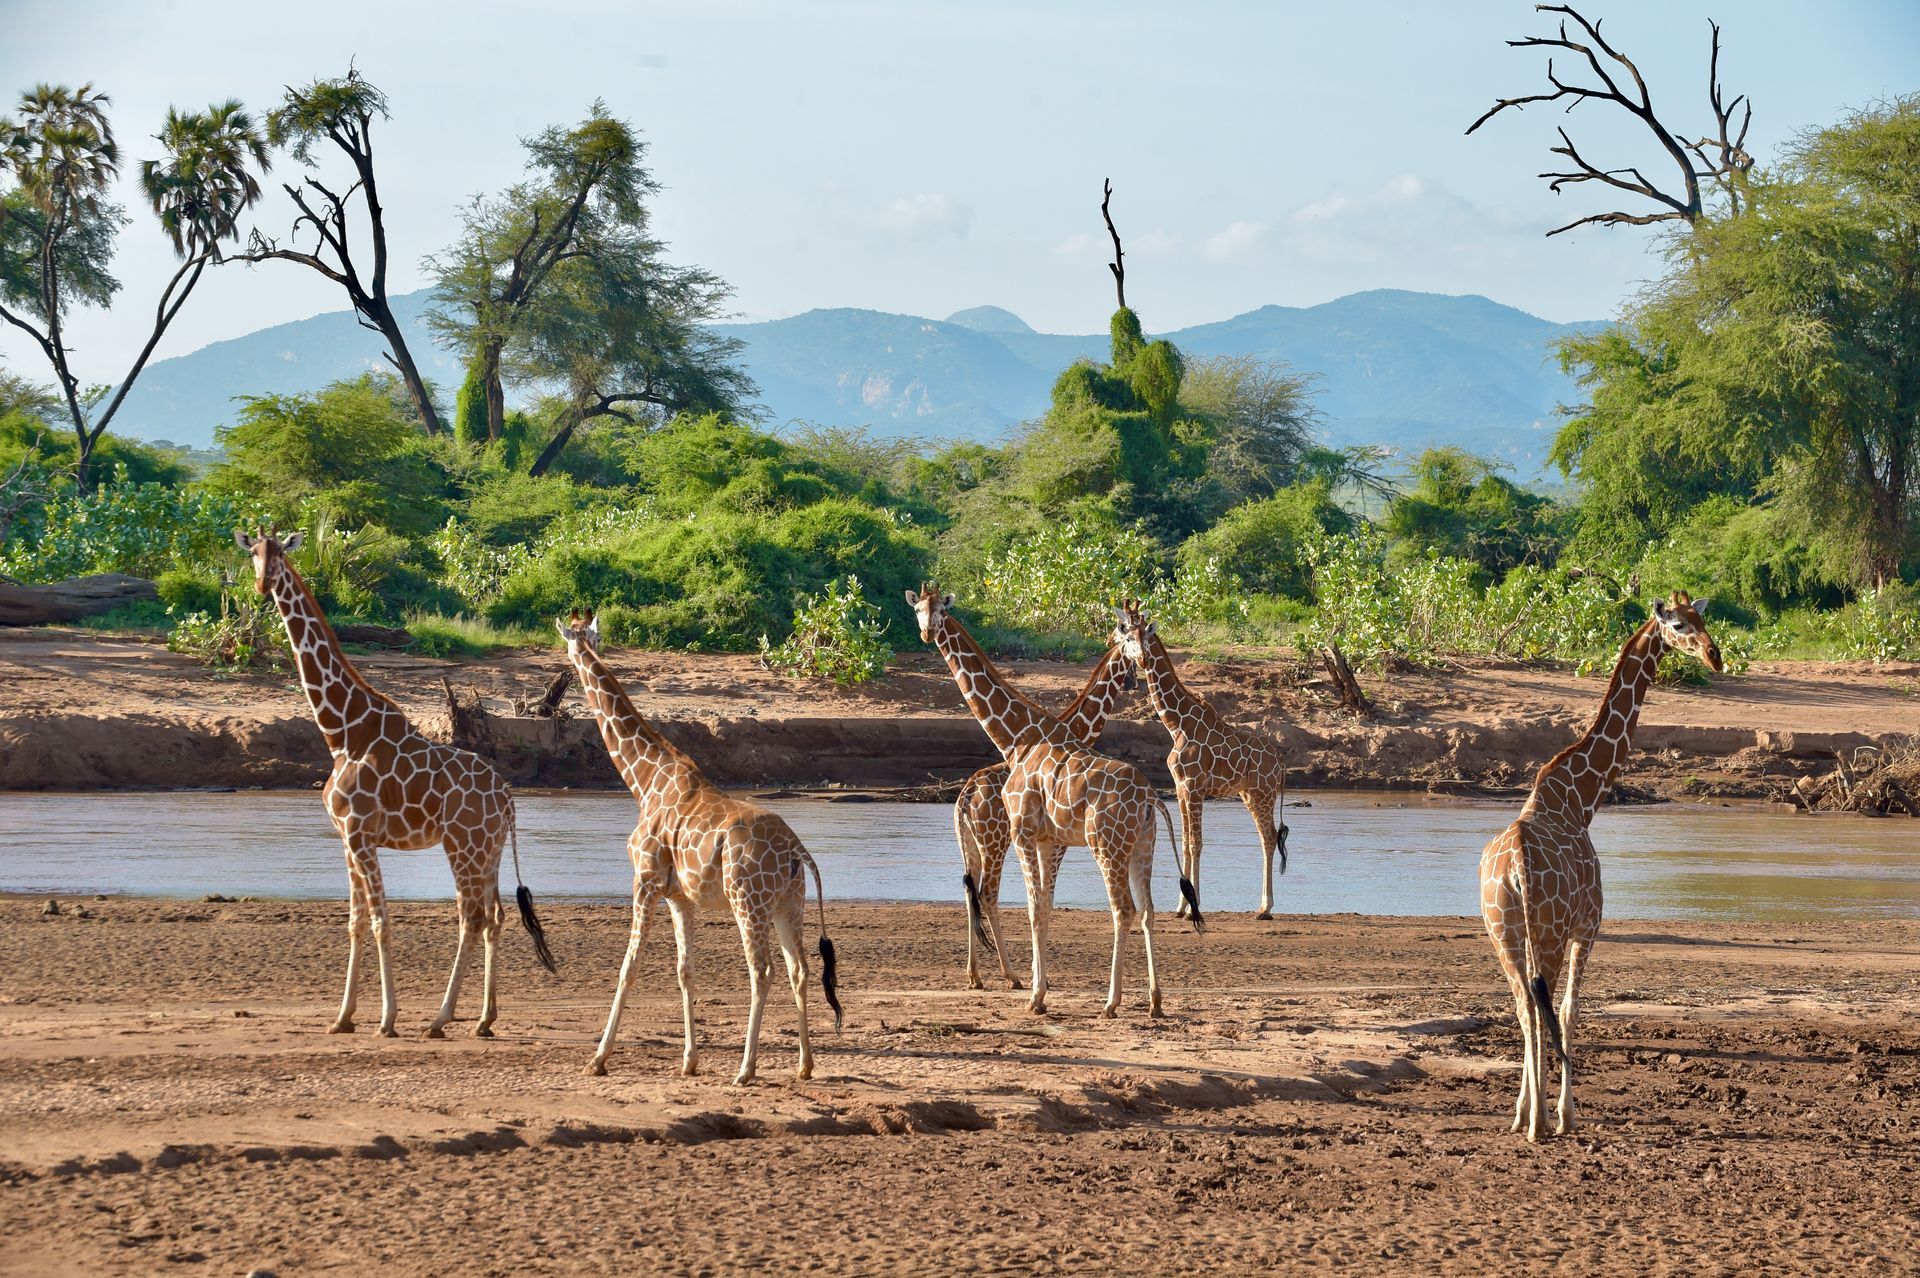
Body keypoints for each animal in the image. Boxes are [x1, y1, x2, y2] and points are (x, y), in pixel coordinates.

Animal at [235, 530, 554, 1041]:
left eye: (280, 553)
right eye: (252, 553)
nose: (263, 584)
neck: (341, 732)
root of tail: (507, 799)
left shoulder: (361, 833)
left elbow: (381, 920)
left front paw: (386, 1019)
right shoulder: (346, 838)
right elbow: (355, 921)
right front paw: (342, 1018)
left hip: (462, 845)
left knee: (471, 917)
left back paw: (440, 1019)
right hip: (489, 849)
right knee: (496, 917)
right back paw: (484, 1020)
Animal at [558, 611, 841, 1083]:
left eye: (576, 639)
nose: (576, 656)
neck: (643, 781)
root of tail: (796, 850)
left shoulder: (645, 881)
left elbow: (629, 965)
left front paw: (598, 1058)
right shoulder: (680, 896)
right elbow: (685, 970)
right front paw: (689, 1061)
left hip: (748, 901)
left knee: (762, 971)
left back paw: (745, 1069)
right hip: (789, 903)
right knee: (798, 969)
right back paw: (804, 1065)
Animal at [953, 641, 1136, 991]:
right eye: (1131, 664)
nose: (1135, 684)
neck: (1076, 730)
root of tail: (965, 797)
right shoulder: (1056, 842)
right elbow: (1044, 900)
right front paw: (1042, 977)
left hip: (970, 845)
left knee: (969, 894)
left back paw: (975, 976)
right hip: (994, 844)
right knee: (986, 895)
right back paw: (1011, 975)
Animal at [1113, 600, 1291, 920]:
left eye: (1143, 636)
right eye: (1127, 635)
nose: (1142, 659)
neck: (1176, 725)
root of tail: (1280, 764)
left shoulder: (1194, 787)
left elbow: (1196, 843)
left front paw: (1194, 906)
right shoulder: (1181, 787)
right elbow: (1185, 843)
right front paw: (1180, 906)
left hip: (1263, 793)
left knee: (1269, 838)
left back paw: (1265, 907)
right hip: (1248, 794)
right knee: (1268, 836)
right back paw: (1263, 905)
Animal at [1481, 591, 1722, 1141]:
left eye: (1703, 618)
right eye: (1679, 626)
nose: (1715, 656)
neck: (1580, 798)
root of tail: (1517, 868)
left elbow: (1547, 1010)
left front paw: (1525, 1112)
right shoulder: (1588, 927)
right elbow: (1571, 1010)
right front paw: (1565, 1113)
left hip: (1503, 932)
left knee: (1523, 1004)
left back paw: (1525, 1118)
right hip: (1547, 933)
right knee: (1543, 1005)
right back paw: (1542, 1123)